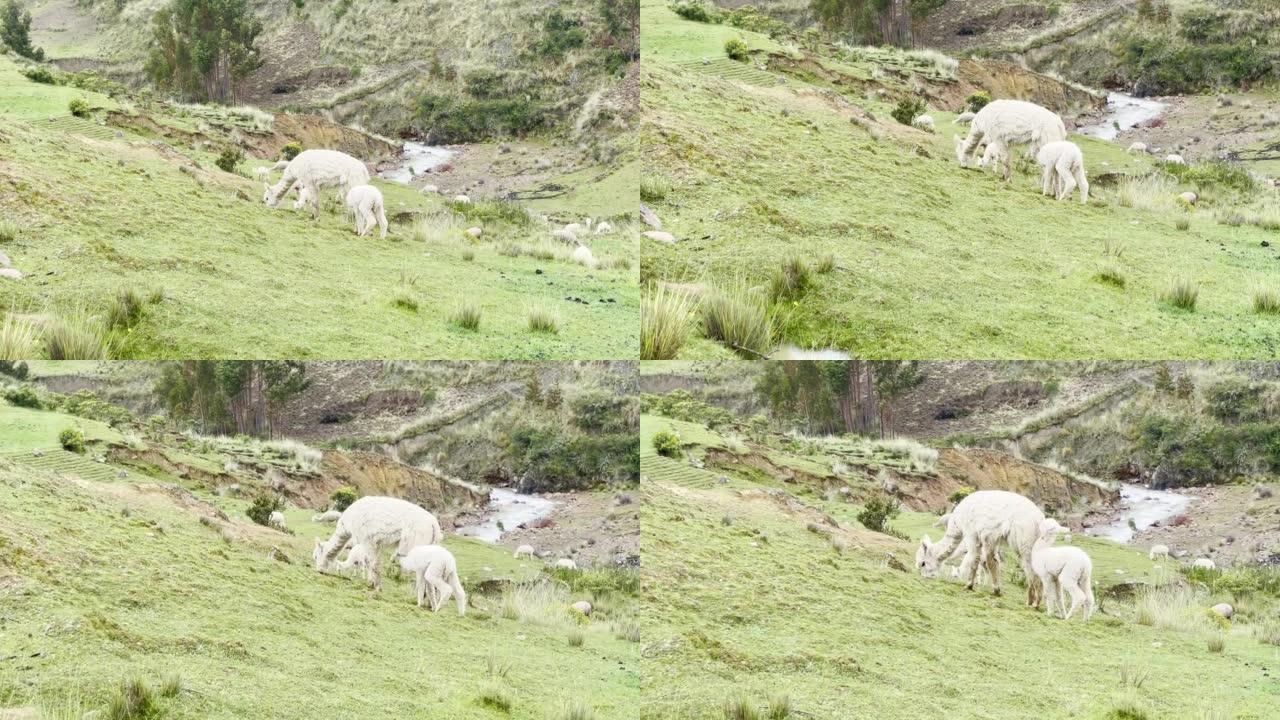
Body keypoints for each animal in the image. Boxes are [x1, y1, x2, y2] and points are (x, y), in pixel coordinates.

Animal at [312, 491, 442, 589]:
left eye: (316, 556)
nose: (319, 571)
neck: (346, 525)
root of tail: (434, 524)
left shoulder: (365, 540)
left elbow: (369, 562)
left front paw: (371, 583)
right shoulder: (376, 543)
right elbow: (376, 563)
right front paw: (376, 584)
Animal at [916, 489, 1044, 602]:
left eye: (922, 563)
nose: (924, 576)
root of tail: (1039, 518)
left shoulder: (971, 533)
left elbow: (975, 559)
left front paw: (969, 585)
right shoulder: (990, 539)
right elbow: (993, 561)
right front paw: (995, 589)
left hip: (1024, 539)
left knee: (1031, 567)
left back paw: (1034, 601)